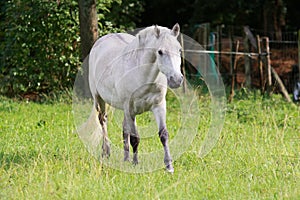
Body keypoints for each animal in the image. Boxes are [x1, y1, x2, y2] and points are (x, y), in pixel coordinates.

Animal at [88, 24, 183, 173]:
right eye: (160, 52)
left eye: (179, 49)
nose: (177, 80)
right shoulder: (130, 109)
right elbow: (135, 138)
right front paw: (135, 163)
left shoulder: (159, 106)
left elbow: (163, 135)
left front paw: (169, 166)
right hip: (99, 100)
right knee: (103, 121)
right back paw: (106, 152)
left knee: (124, 129)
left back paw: (125, 158)